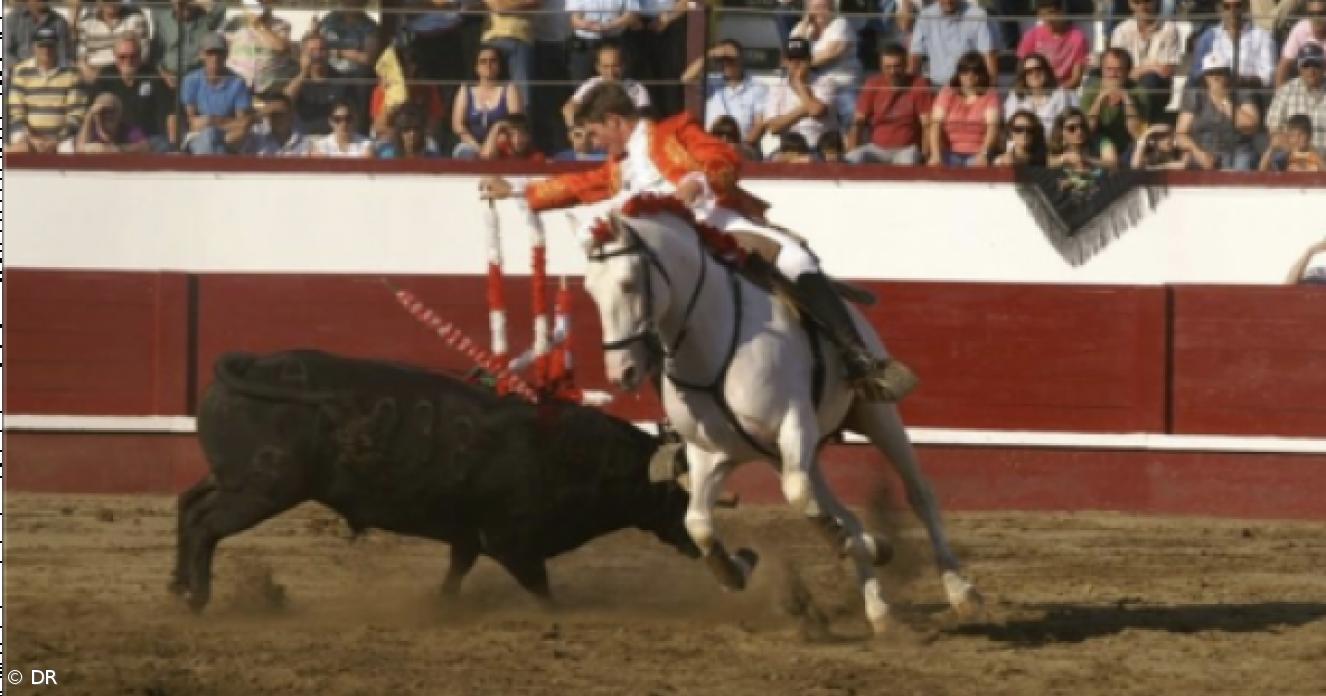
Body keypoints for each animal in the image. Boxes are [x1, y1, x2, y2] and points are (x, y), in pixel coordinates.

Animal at [171, 349, 700, 609]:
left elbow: (458, 568)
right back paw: (199, 597)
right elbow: (542, 588)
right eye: (681, 494)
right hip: (264, 488)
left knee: (190, 504)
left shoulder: (469, 533)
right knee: (207, 525)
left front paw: (441, 606)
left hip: (236, 477)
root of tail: (250, 365)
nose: (703, 544)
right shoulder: (512, 540)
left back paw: (178, 586)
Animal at [580, 196, 986, 633]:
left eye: (627, 283)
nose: (621, 372)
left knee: (919, 494)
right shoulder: (709, 453)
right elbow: (700, 524)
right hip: (784, 455)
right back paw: (880, 610)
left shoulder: (794, 425)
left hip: (875, 415)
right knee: (836, 511)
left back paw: (961, 593)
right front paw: (735, 570)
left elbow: (800, 498)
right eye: (589, 290)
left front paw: (870, 546)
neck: (712, 341)